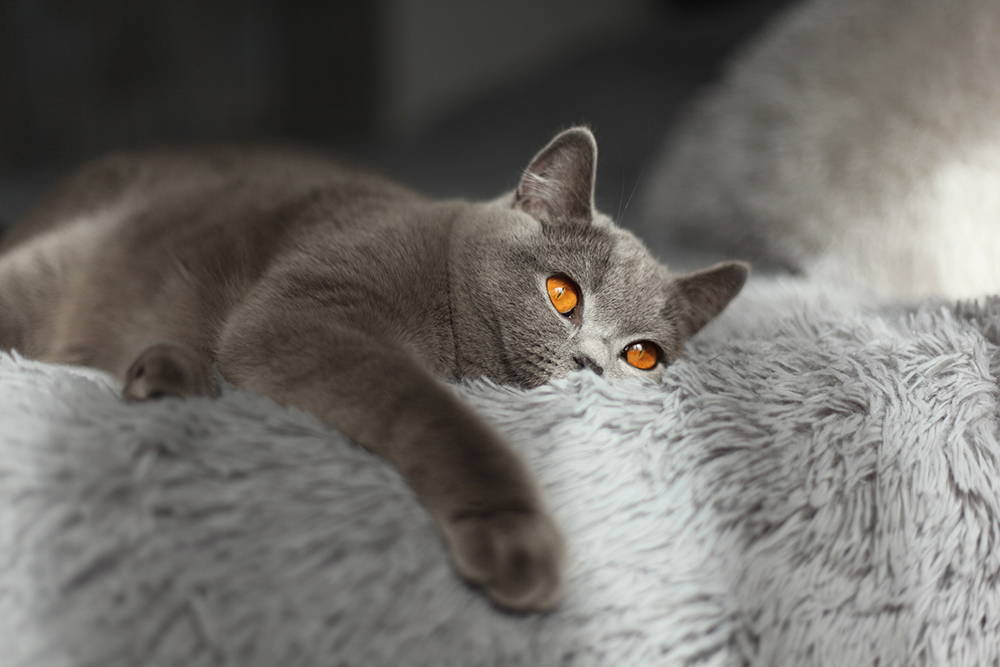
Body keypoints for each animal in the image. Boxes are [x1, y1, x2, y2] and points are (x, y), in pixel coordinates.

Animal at [0, 128, 748, 612]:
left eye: (642, 355)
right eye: (563, 293)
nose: (591, 363)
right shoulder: (305, 310)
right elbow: (427, 405)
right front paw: (513, 533)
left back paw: (168, 376)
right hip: (49, 271)